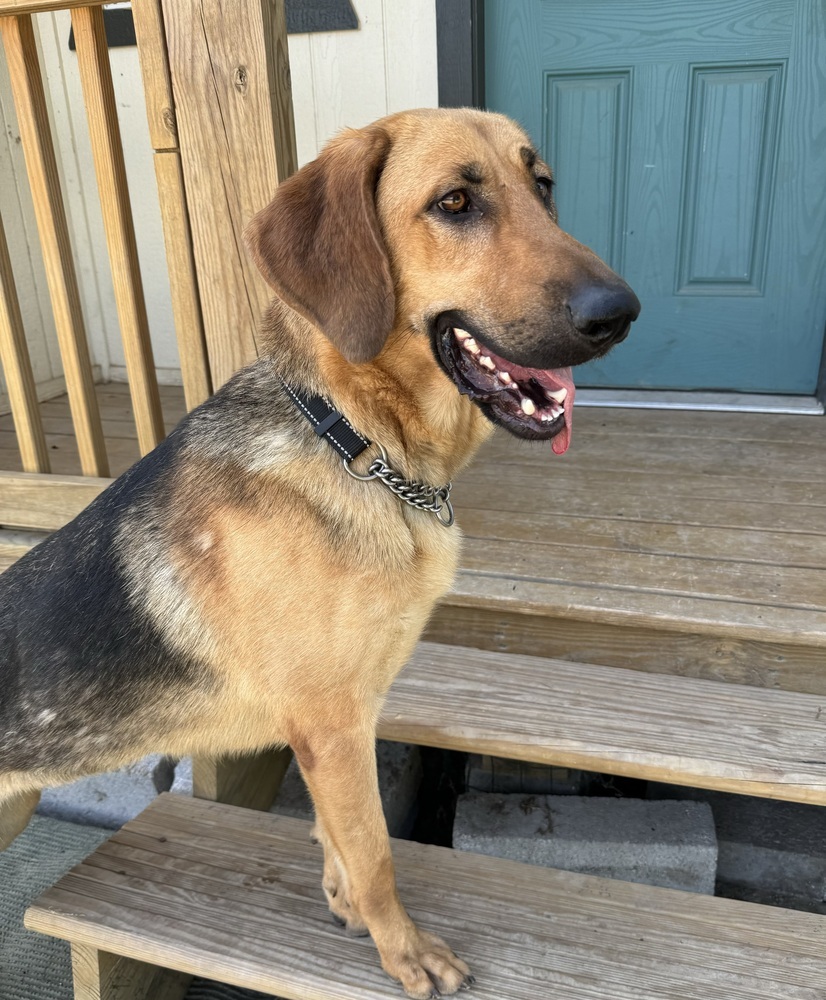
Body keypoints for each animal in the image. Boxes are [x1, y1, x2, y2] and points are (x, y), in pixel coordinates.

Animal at [0, 109, 636, 1000]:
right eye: (455, 201)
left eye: (541, 186)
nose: (622, 312)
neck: (355, 439)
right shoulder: (332, 724)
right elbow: (373, 854)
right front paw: (404, 953)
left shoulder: (335, 723)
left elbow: (339, 838)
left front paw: (347, 907)